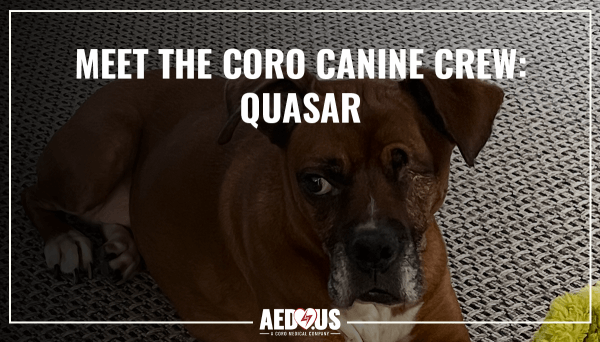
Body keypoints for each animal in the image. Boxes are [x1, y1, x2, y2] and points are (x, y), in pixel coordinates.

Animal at [21, 67, 504, 342]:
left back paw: (123, 246)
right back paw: (65, 241)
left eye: (409, 169)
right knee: (32, 193)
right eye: (315, 182)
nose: (372, 249)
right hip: (103, 152)